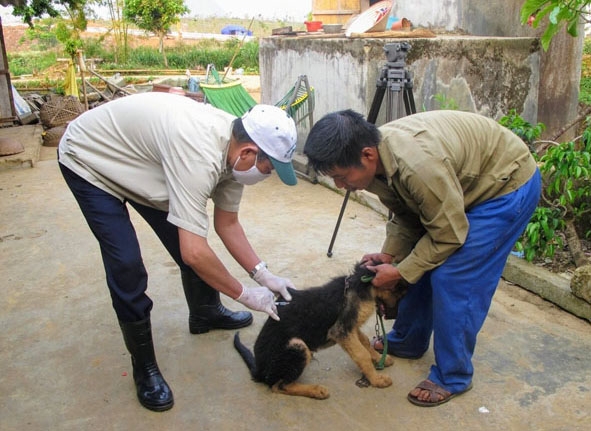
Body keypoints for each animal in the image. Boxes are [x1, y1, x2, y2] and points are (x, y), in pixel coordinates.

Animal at [234, 264, 410, 402]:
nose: (394, 316)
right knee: (278, 385)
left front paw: (379, 359)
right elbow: (362, 354)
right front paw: (376, 379)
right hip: (296, 345)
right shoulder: (341, 331)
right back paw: (316, 390)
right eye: (399, 294)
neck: (361, 286)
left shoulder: (350, 327)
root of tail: (259, 370)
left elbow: (365, 341)